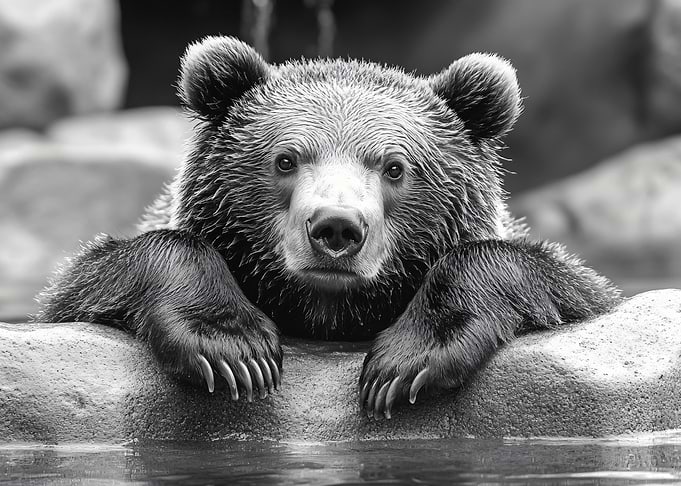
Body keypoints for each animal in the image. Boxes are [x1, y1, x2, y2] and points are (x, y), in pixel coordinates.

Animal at [35, 36, 621, 419]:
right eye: (286, 159)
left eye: (394, 166)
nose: (337, 227)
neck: (328, 311)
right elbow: (97, 273)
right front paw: (234, 349)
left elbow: (559, 279)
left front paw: (405, 364)